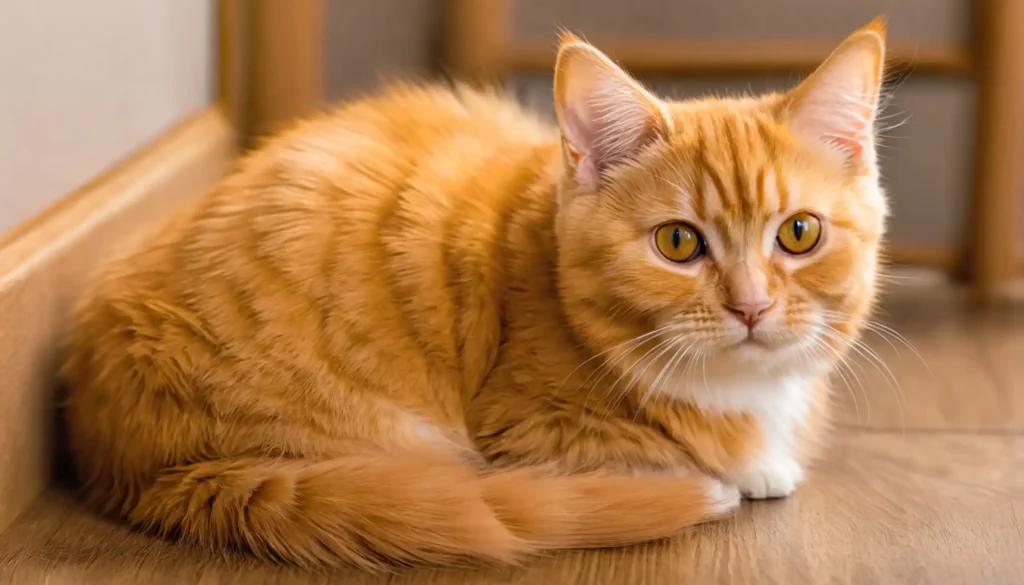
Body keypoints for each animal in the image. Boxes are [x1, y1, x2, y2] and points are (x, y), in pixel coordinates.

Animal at [58, 17, 888, 573]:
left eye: (800, 233)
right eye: (678, 243)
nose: (750, 306)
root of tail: (135, 462)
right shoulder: (530, 434)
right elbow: (677, 455)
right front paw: (744, 468)